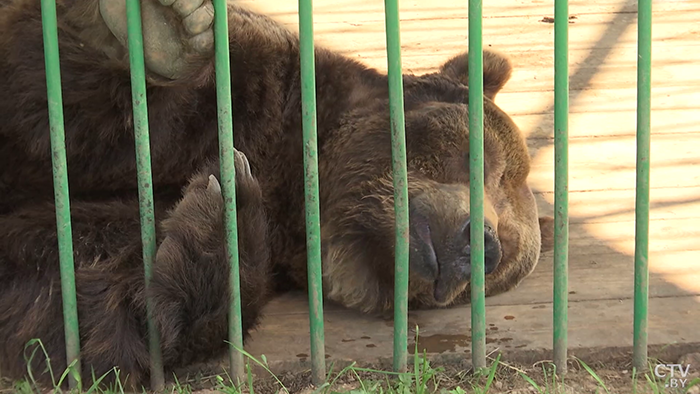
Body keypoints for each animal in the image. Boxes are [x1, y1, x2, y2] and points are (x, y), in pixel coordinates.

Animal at [0, 0, 556, 390]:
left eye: (507, 254)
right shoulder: (249, 86)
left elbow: (83, 299)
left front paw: (221, 219)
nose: (481, 244)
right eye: (482, 159)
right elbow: (60, 94)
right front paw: (164, 31)